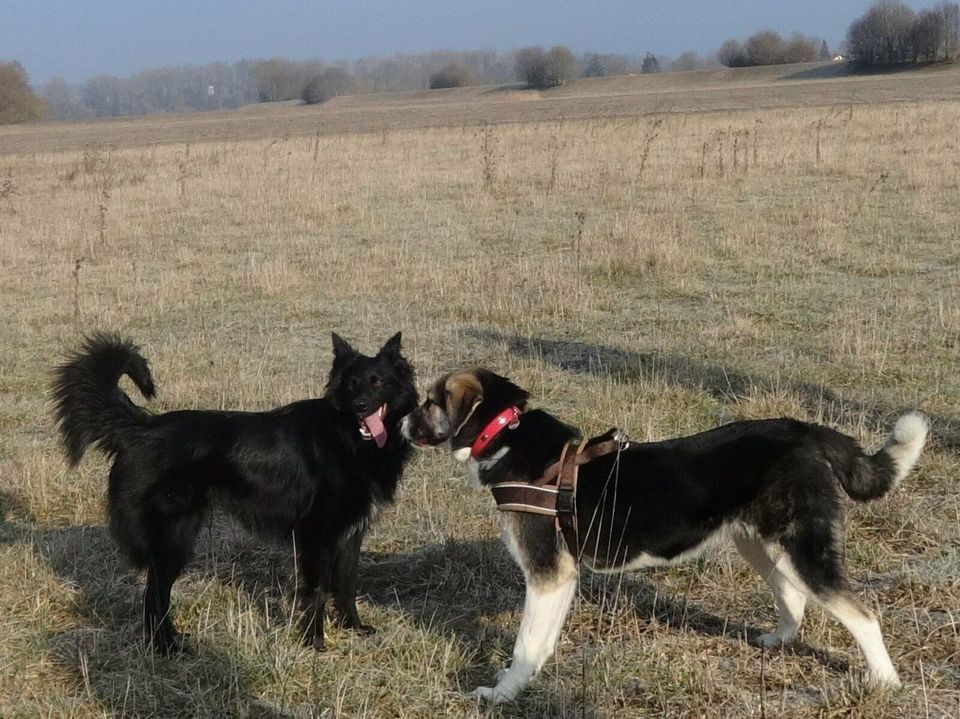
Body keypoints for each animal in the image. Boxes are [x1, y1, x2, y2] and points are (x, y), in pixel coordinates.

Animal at [53, 330, 416, 652]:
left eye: (377, 382)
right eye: (351, 384)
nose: (361, 406)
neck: (347, 438)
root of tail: (141, 427)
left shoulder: (350, 533)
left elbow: (347, 585)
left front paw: (354, 627)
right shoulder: (317, 534)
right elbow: (318, 591)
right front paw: (314, 642)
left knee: (153, 595)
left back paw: (169, 644)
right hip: (176, 536)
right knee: (155, 596)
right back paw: (168, 649)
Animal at [402, 368, 928, 704]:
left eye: (429, 402)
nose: (401, 420)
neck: (506, 436)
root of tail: (810, 432)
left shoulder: (547, 575)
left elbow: (525, 646)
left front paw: (503, 694)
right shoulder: (560, 579)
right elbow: (541, 643)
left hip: (804, 549)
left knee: (862, 615)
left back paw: (884, 681)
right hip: (758, 542)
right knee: (792, 596)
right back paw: (778, 639)